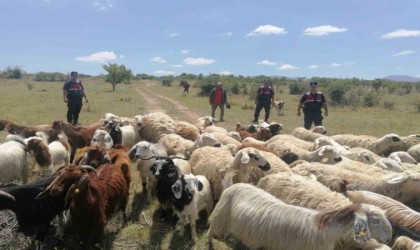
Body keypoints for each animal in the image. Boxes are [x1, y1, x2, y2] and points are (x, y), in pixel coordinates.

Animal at [208, 182, 392, 250]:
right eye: (375, 220)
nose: (389, 238)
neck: (326, 230)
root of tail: (236, 185)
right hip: (219, 218)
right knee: (210, 232)